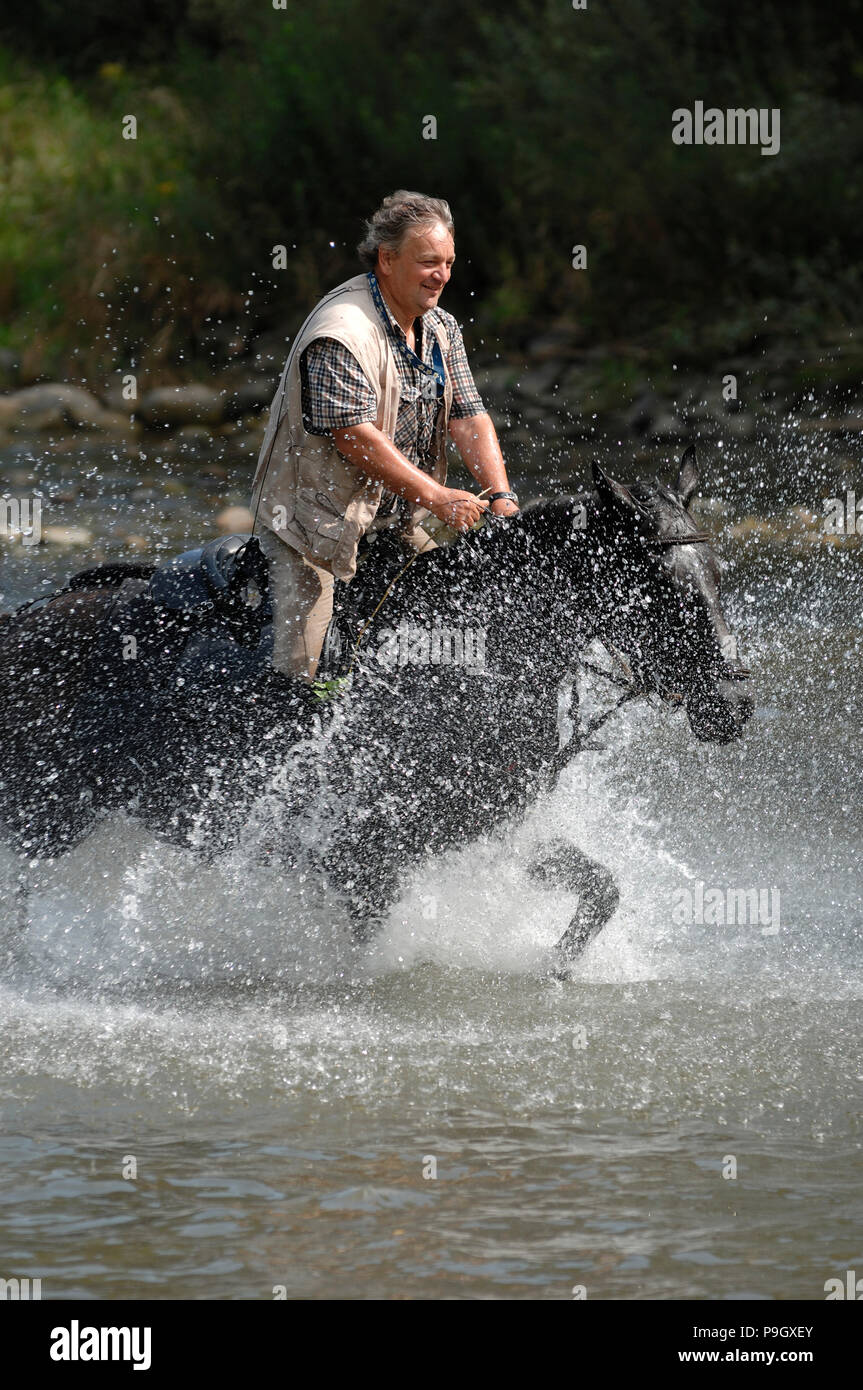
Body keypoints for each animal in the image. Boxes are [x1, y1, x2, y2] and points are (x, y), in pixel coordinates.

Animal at [0, 450, 755, 973]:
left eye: (717, 577)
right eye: (663, 589)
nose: (736, 704)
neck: (468, 657)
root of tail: (20, 624)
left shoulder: (488, 830)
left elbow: (600, 889)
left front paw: (554, 967)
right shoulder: (361, 860)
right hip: (40, 819)